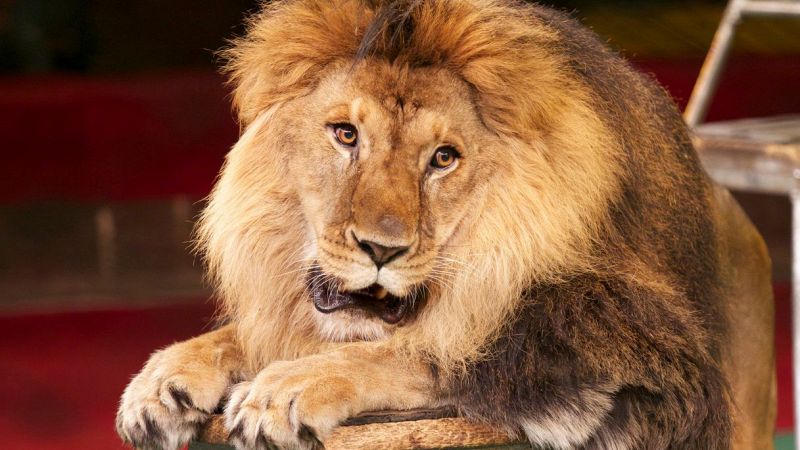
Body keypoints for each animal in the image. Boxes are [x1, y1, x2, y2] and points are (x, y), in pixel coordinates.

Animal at [116, 0, 776, 449]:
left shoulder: (628, 355)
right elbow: (253, 334)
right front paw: (166, 378)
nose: (380, 249)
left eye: (443, 158)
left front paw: (288, 388)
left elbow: (428, 352)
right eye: (345, 134)